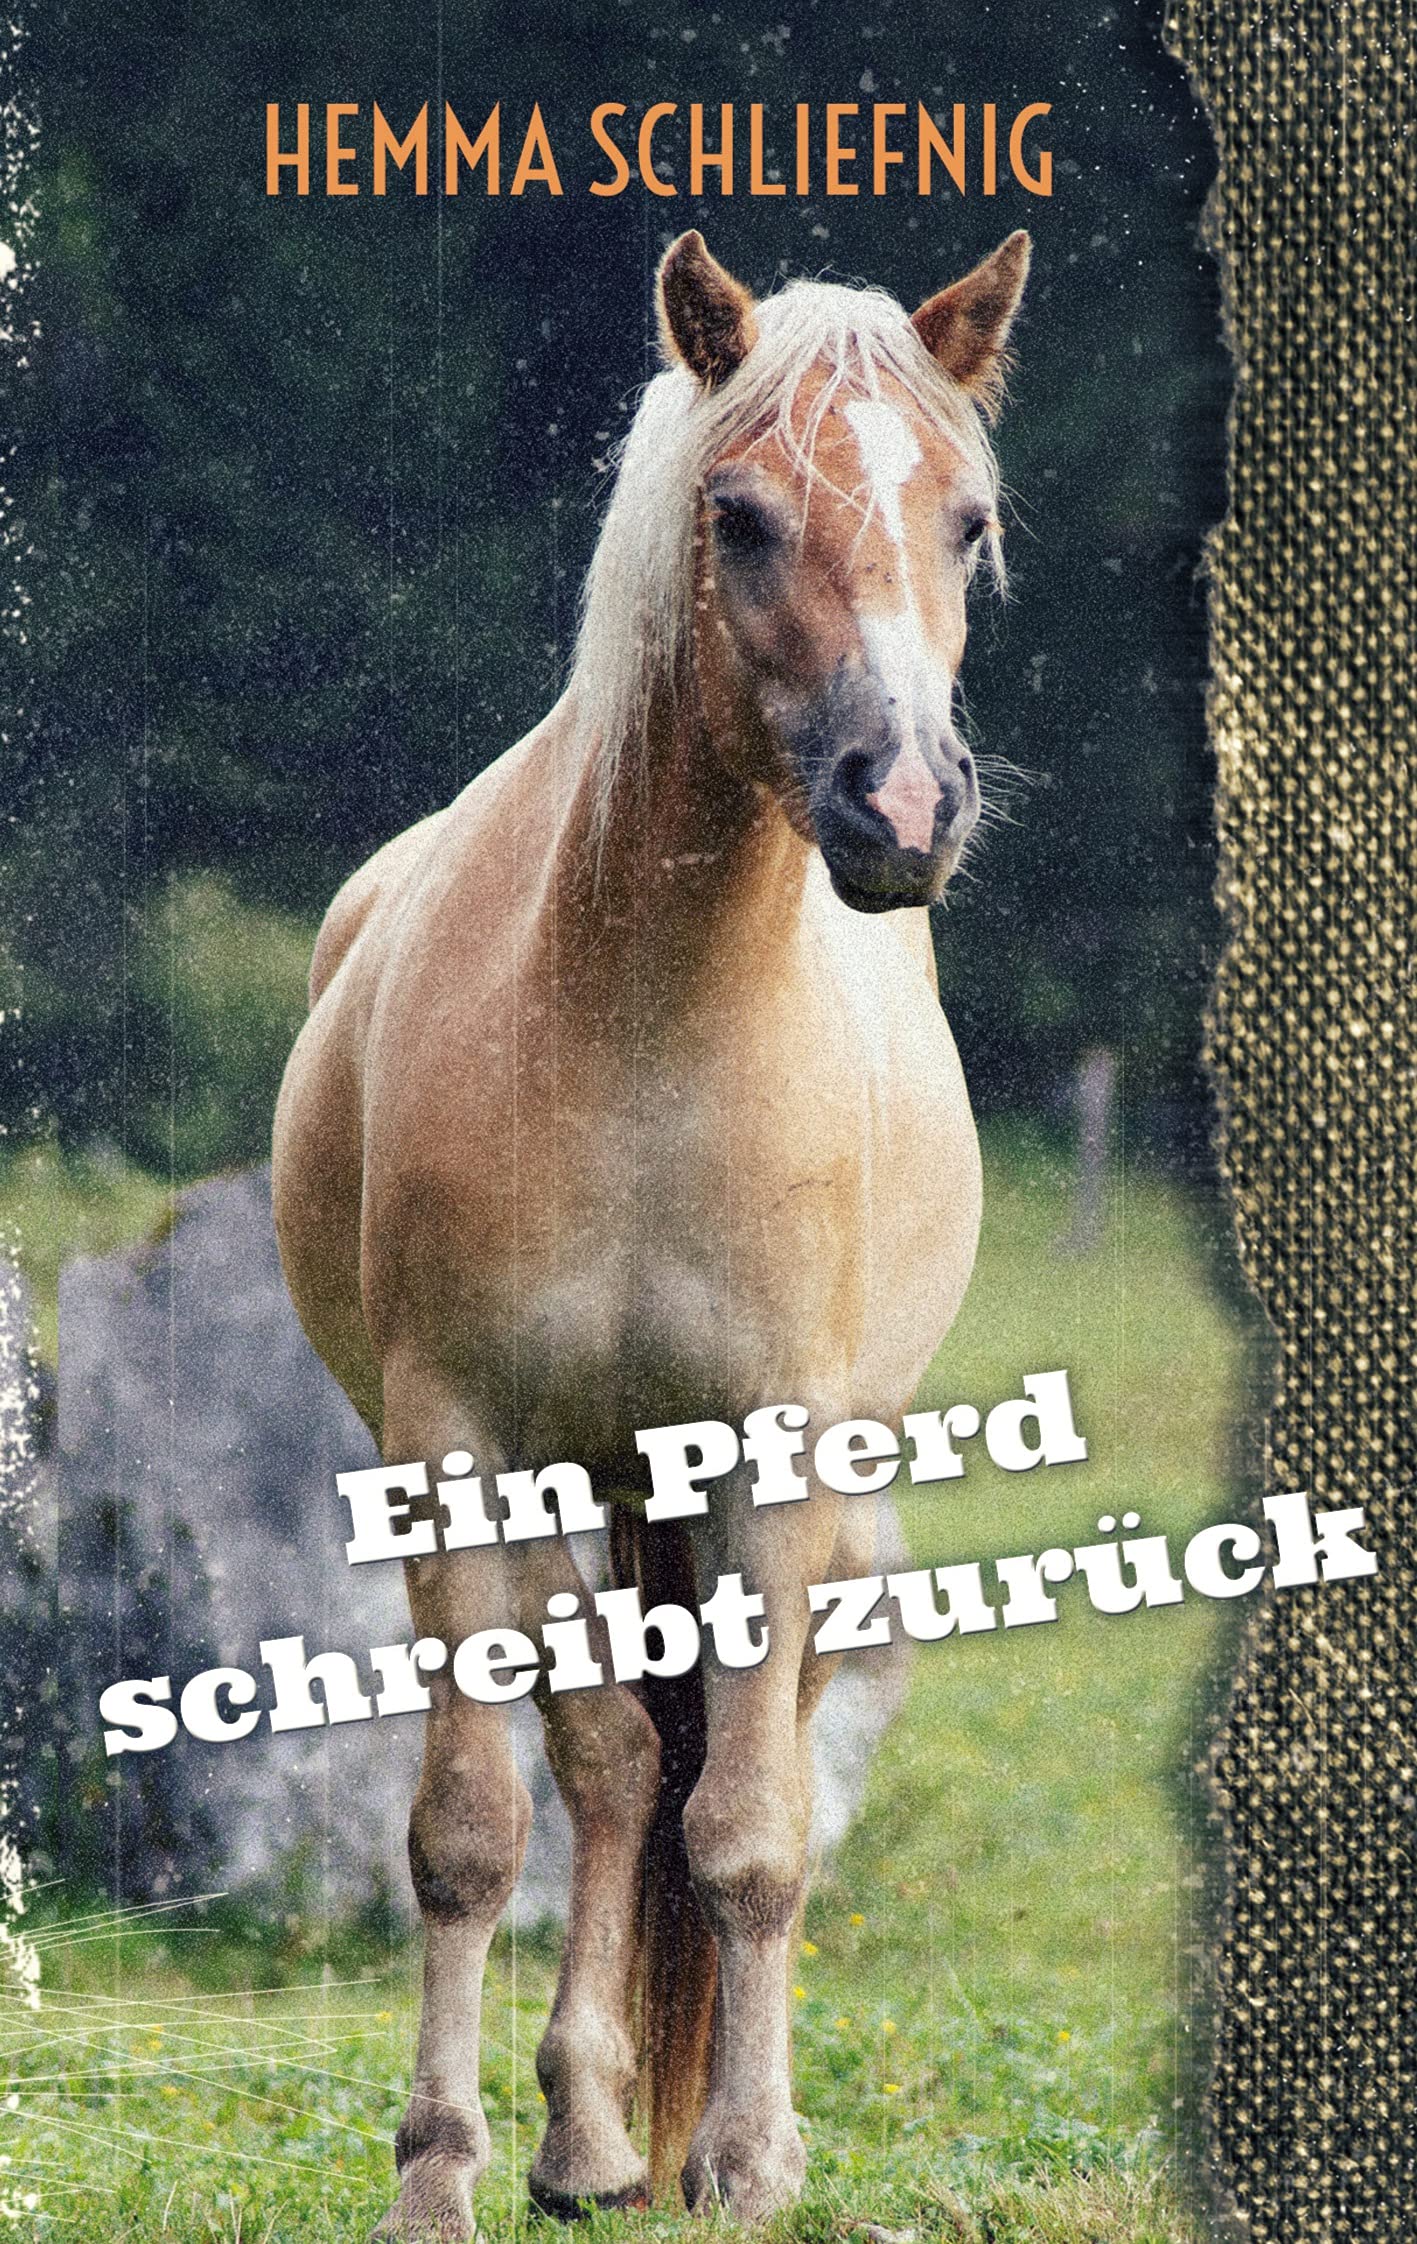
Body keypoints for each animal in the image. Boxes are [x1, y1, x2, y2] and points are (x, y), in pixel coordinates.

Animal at [272, 224, 1029, 2242]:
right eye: (741, 513)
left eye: (968, 525)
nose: (900, 802)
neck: (640, 1026)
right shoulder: (455, 1444)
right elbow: (476, 1826)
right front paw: (440, 2166)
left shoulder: (773, 1453)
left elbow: (750, 1828)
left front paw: (751, 2161)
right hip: (583, 1479)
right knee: (607, 1764)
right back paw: (584, 2133)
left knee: (699, 1760)